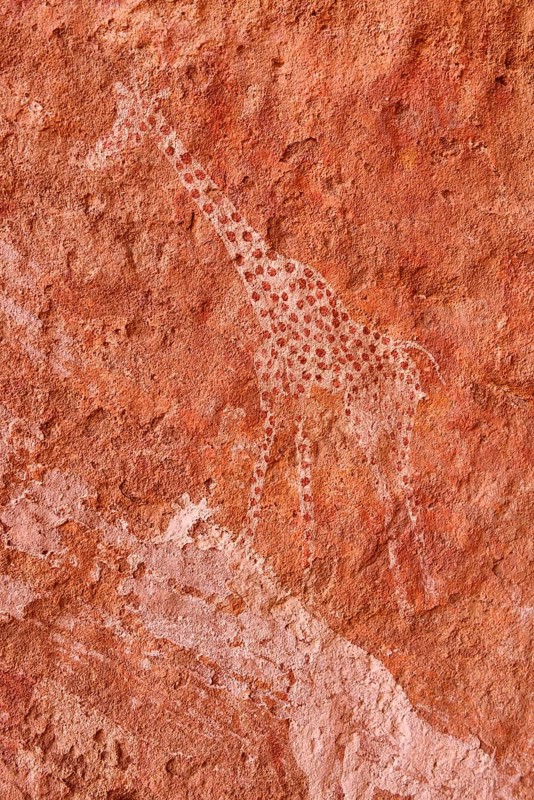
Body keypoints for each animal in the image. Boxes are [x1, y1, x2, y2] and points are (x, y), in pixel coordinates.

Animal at [85, 81, 444, 608]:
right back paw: (416, 591)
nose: (93, 155)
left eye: (128, 122)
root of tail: (416, 367)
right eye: (115, 112)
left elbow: (278, 467)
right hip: (381, 424)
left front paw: (261, 556)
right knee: (398, 491)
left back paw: (415, 595)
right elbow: (286, 466)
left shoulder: (289, 392)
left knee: (398, 492)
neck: (266, 287)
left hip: (373, 420)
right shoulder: (282, 393)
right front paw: (296, 562)